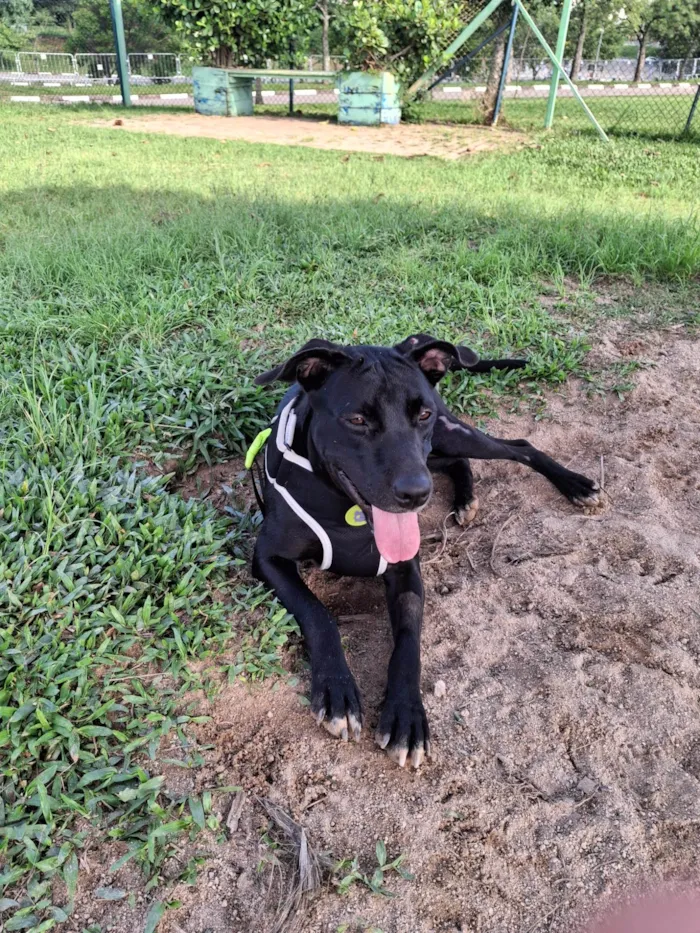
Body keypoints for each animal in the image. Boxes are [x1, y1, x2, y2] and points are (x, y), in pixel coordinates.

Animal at [249, 332, 600, 768]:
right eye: (357, 420)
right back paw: (466, 498)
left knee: (517, 446)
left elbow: (409, 640)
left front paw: (406, 714)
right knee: (456, 462)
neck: (346, 511)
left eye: (422, 414)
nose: (416, 494)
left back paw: (574, 484)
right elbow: (318, 614)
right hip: (436, 452)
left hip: (447, 436)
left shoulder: (406, 570)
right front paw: (337, 690)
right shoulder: (268, 557)